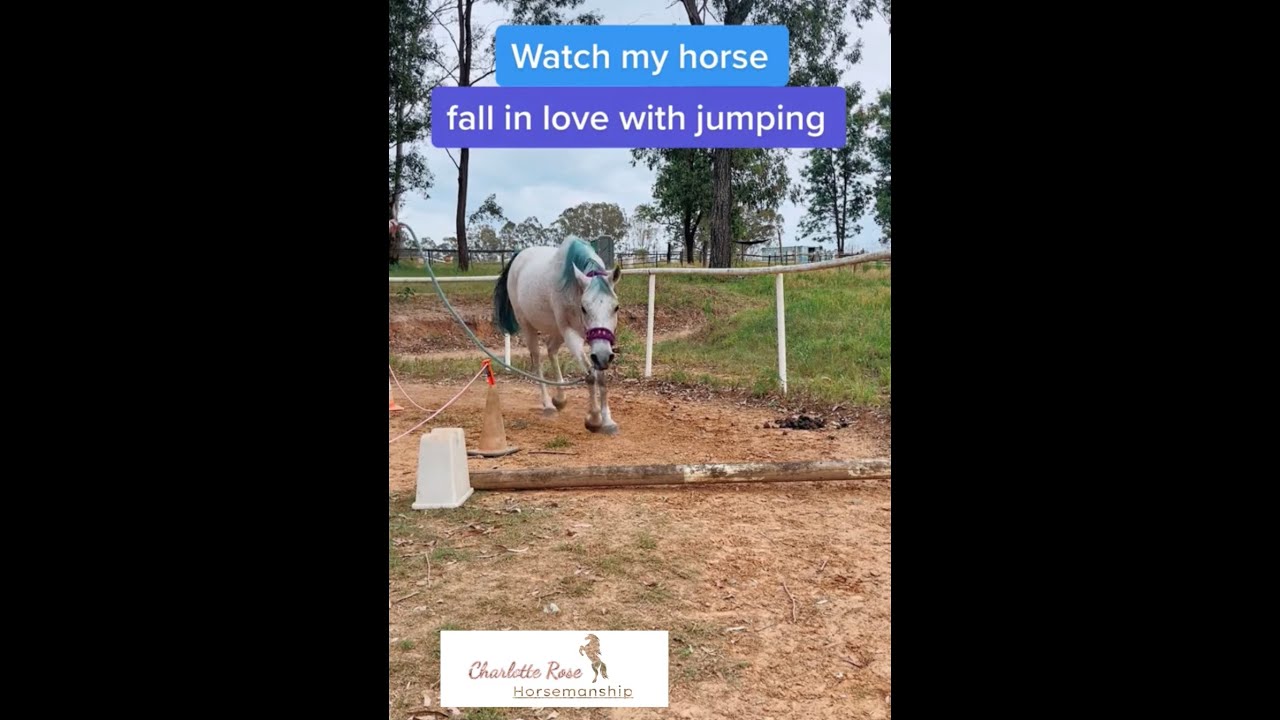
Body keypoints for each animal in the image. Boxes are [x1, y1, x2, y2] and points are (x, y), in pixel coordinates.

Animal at [493, 236, 622, 434]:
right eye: (584, 308)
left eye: (616, 307)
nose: (603, 357)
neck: (574, 288)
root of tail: (518, 257)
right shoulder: (571, 334)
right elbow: (590, 375)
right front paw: (593, 419)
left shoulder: (598, 345)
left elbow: (600, 377)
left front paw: (607, 421)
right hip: (529, 326)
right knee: (537, 359)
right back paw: (548, 404)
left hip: (557, 331)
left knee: (551, 350)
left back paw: (560, 398)